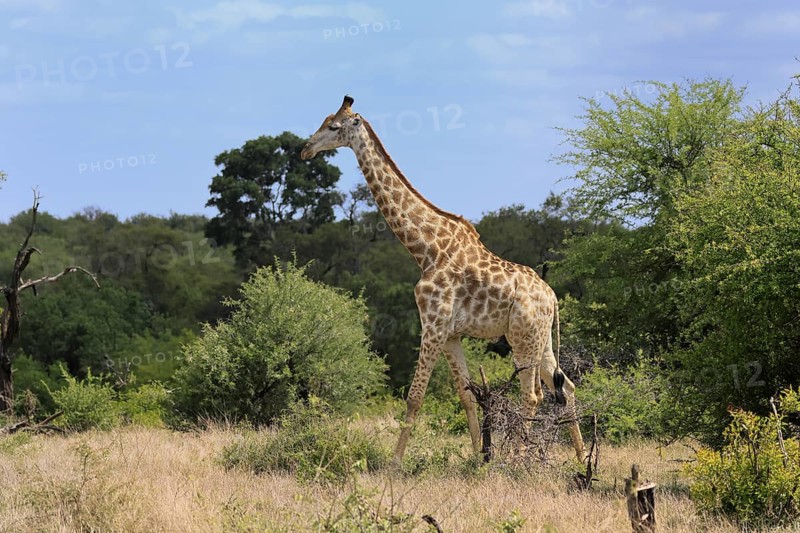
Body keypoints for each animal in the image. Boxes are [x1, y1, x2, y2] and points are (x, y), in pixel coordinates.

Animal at [300, 96, 586, 464]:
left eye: (333, 126)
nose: (305, 149)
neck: (425, 249)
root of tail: (552, 297)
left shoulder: (433, 323)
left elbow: (415, 396)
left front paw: (394, 463)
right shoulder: (451, 335)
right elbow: (466, 395)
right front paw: (479, 457)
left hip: (522, 337)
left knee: (534, 394)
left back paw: (518, 459)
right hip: (540, 338)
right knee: (565, 387)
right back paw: (582, 459)